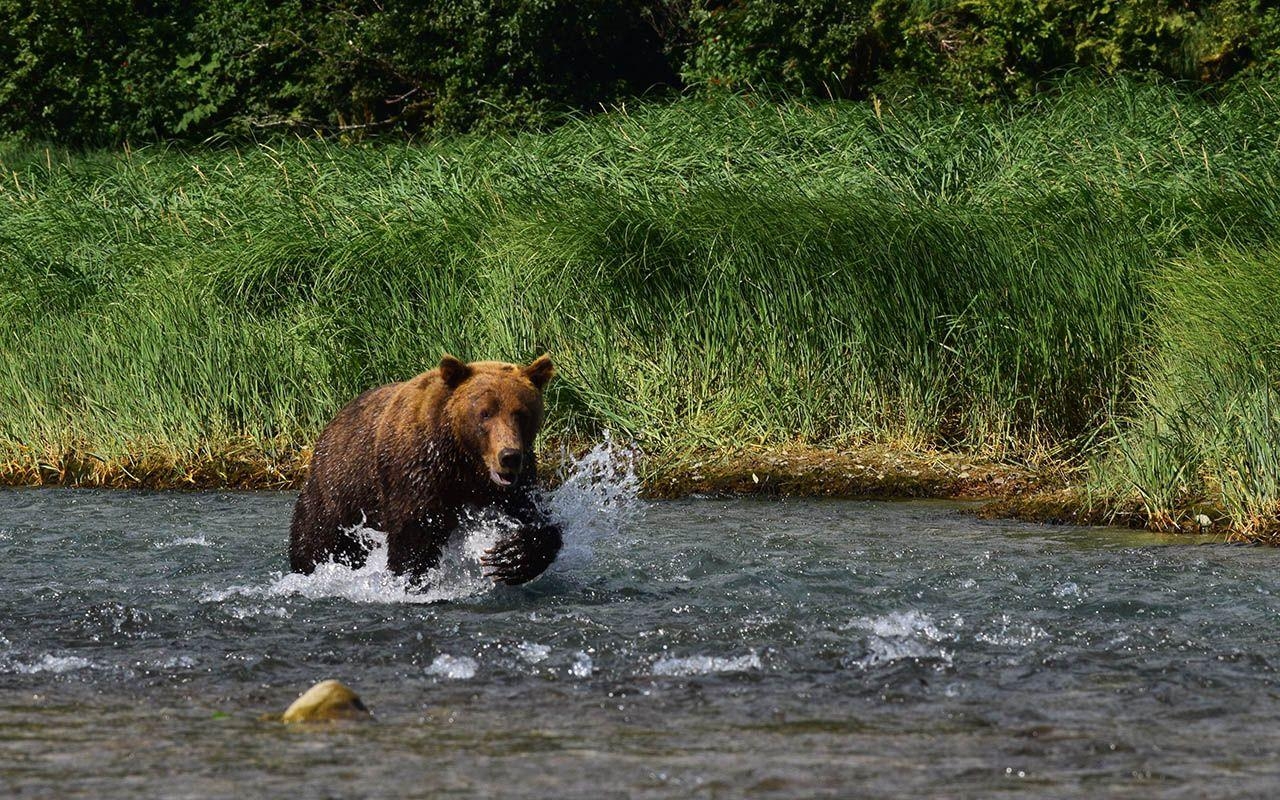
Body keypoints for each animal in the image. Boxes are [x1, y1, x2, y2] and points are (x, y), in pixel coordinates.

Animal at [294, 353, 565, 583]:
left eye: (521, 413)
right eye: (485, 413)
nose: (509, 456)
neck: (464, 460)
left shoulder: (516, 484)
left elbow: (536, 518)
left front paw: (510, 557)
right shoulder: (418, 469)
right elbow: (414, 533)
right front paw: (411, 576)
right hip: (337, 490)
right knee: (315, 539)